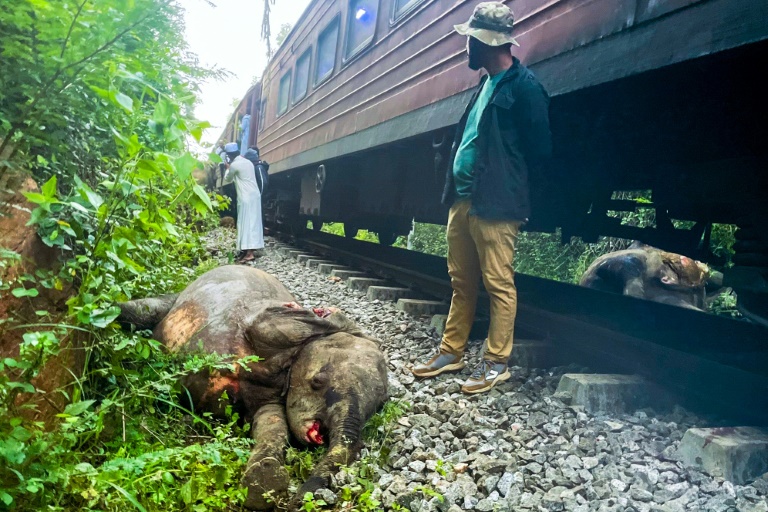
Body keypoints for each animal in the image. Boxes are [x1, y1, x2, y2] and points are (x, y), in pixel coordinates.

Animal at [116, 266, 388, 510]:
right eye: (317, 382)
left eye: (380, 407)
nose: (298, 500)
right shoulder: (271, 322)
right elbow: (270, 326)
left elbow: (272, 421)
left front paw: (264, 479)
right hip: (177, 298)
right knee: (142, 310)